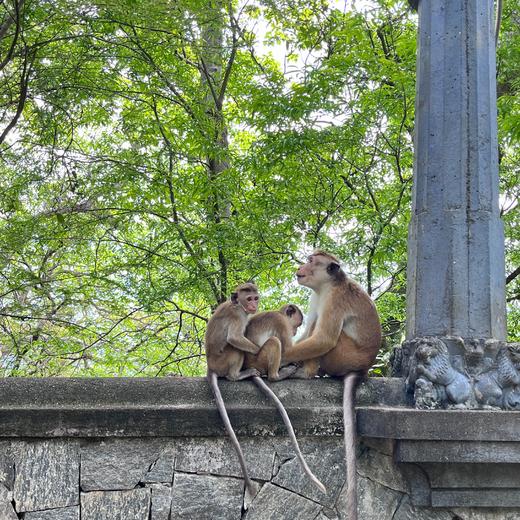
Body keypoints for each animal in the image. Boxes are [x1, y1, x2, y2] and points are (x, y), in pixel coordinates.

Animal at [282, 250, 384, 516]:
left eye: (310, 261)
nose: (301, 267)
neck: (328, 286)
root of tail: (362, 369)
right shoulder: (317, 297)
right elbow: (309, 331)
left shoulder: (335, 300)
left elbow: (323, 339)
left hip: (344, 356)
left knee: (330, 338)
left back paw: (306, 373)